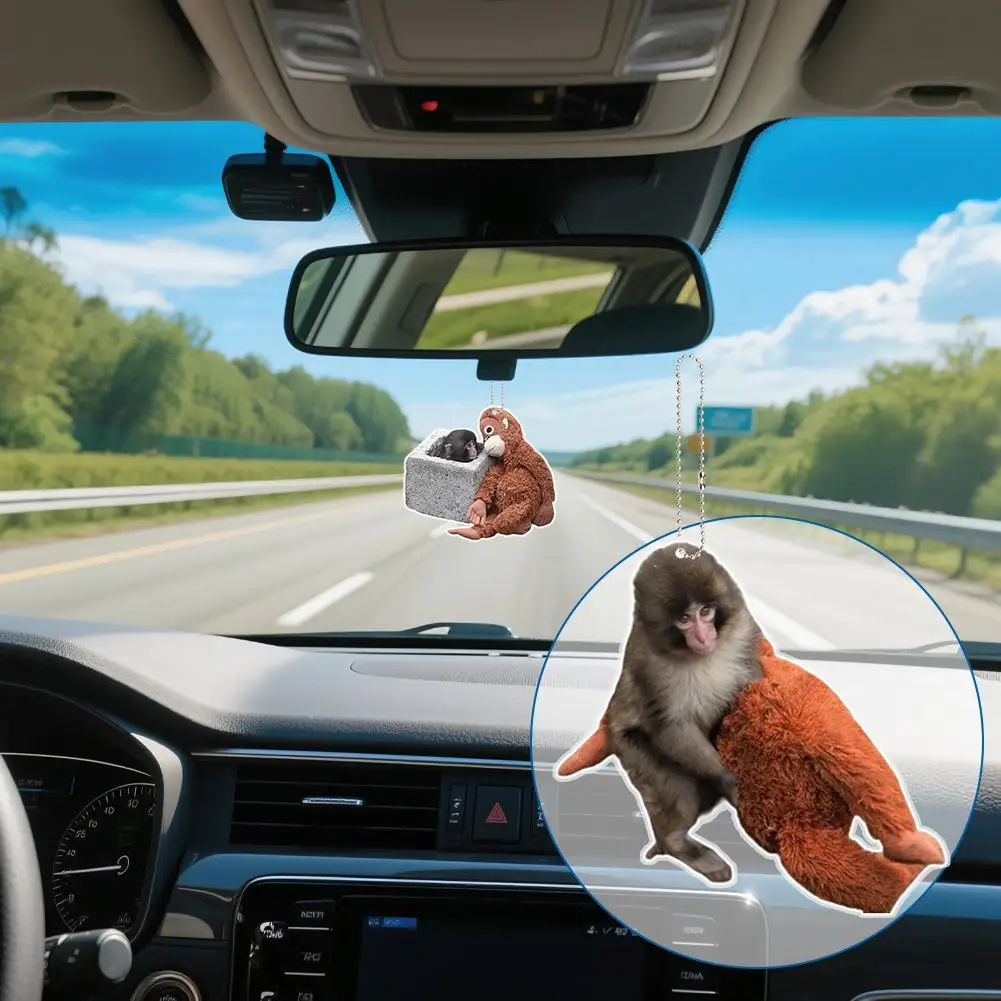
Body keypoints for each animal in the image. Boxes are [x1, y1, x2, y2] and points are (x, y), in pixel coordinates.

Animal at [603, 540, 762, 883]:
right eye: (685, 619)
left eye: (705, 612)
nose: (703, 636)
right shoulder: (649, 663)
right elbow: (671, 726)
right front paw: (729, 778)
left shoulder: (743, 630)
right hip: (630, 749)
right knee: (677, 790)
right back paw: (677, 844)